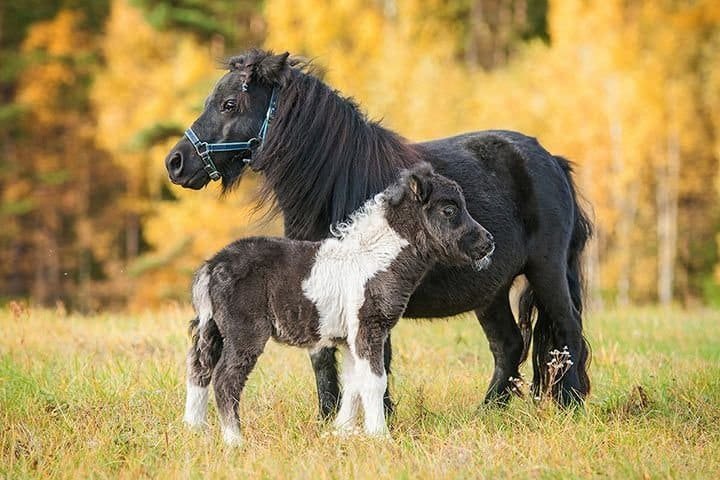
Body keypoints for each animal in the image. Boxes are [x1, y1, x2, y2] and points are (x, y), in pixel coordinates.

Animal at [166, 47, 592, 412]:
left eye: (229, 104)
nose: (175, 162)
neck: (338, 187)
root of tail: (550, 160)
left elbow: (376, 361)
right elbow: (323, 359)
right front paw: (327, 418)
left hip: (546, 271)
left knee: (567, 331)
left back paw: (569, 406)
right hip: (491, 290)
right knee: (509, 346)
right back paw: (487, 413)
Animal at [183, 165, 496, 446]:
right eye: (449, 210)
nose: (488, 242)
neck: (377, 258)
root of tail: (211, 266)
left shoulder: (348, 338)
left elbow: (353, 383)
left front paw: (341, 432)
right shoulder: (368, 328)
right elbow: (374, 380)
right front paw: (380, 437)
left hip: (211, 328)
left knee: (199, 370)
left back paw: (195, 432)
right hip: (244, 332)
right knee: (225, 379)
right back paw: (234, 440)